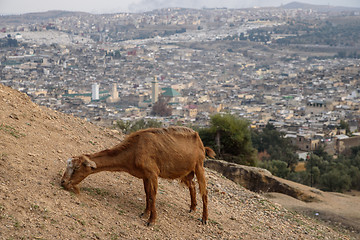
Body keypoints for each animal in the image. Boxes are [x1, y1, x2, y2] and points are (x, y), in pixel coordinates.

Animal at [60, 126, 215, 226]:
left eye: (76, 168)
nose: (63, 182)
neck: (134, 150)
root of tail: (199, 140)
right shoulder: (145, 176)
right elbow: (147, 194)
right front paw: (145, 213)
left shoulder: (152, 174)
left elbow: (152, 196)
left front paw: (151, 221)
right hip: (187, 171)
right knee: (192, 185)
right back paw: (192, 207)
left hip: (199, 166)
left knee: (204, 192)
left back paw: (204, 218)